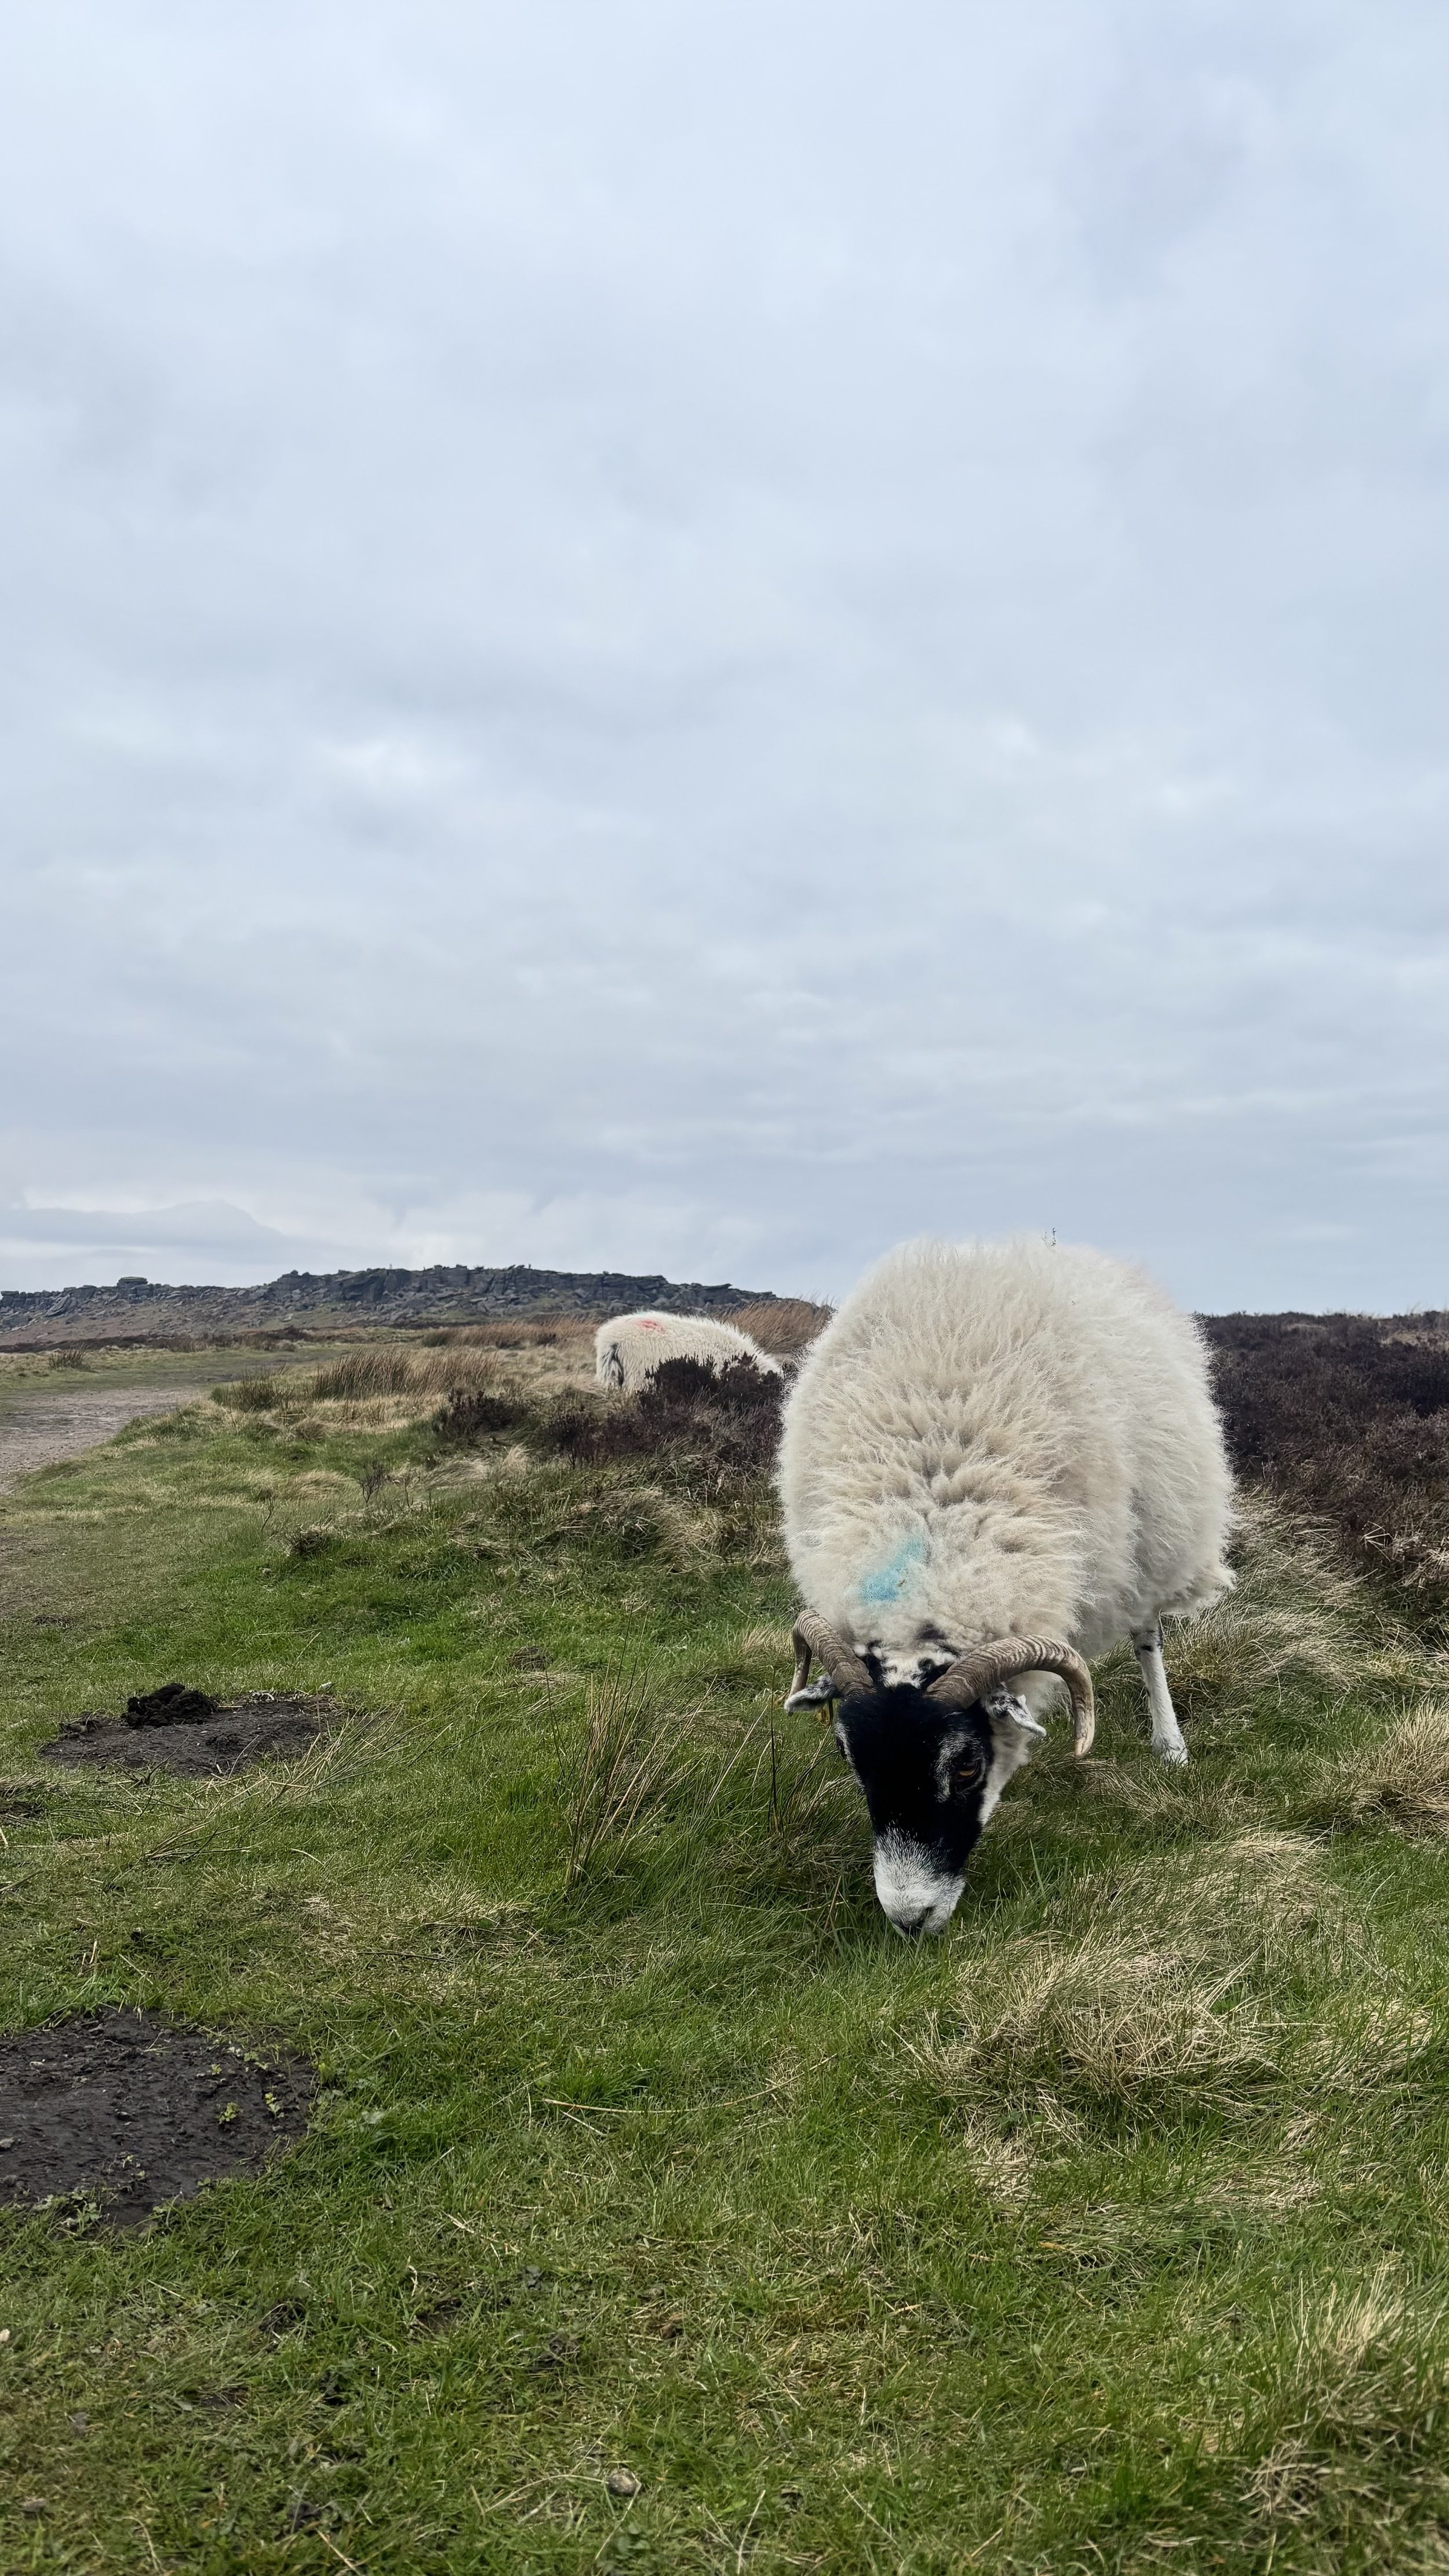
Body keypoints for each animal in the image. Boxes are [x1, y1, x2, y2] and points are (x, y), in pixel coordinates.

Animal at [776, 1237, 1233, 1936]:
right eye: (847, 1757)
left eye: (966, 1765)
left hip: (1149, 1536)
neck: (931, 1546)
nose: (909, 1919)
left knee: (1147, 1633)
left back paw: (1169, 1742)